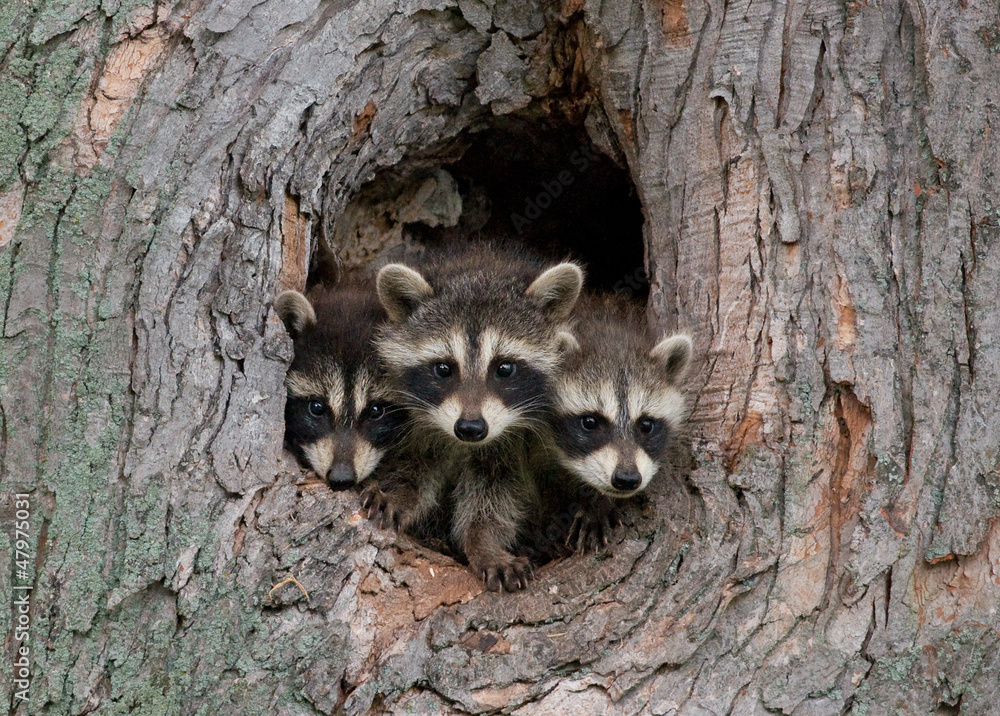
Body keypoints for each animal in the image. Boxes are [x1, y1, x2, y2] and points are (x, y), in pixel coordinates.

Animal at [364, 244, 583, 591]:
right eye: (443, 368)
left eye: (504, 368)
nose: (470, 428)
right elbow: (416, 464)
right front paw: (400, 493)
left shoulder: (510, 443)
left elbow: (495, 495)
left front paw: (484, 544)